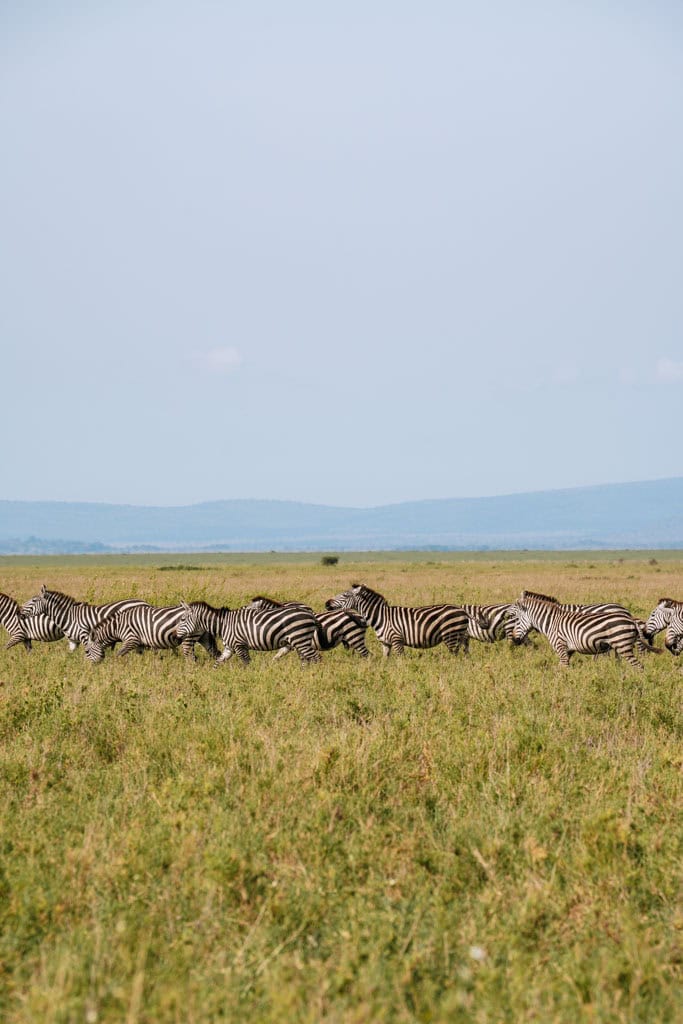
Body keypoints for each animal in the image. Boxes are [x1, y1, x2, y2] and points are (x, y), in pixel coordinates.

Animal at [84, 604, 220, 663]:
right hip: (204, 637)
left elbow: (118, 654)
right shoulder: (139, 644)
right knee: (215, 653)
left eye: (87, 651)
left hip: (189, 637)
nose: (90, 668)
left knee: (191, 657)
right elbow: (140, 657)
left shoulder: (131, 639)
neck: (117, 627)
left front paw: (115, 666)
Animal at [175, 600, 322, 665]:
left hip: (300, 639)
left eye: (182, 619)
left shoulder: (240, 645)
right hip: (300, 640)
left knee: (317, 658)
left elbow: (246, 664)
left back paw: (316, 678)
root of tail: (310, 614)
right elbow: (217, 663)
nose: (176, 636)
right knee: (308, 658)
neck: (223, 624)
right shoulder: (229, 648)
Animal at [325, 583, 482, 656]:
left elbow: (401, 661)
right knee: (464, 654)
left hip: (451, 635)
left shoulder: (397, 640)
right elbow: (385, 661)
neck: (381, 617)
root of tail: (462, 610)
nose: (326, 603)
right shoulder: (385, 643)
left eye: (345, 595)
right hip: (461, 636)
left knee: (455, 655)